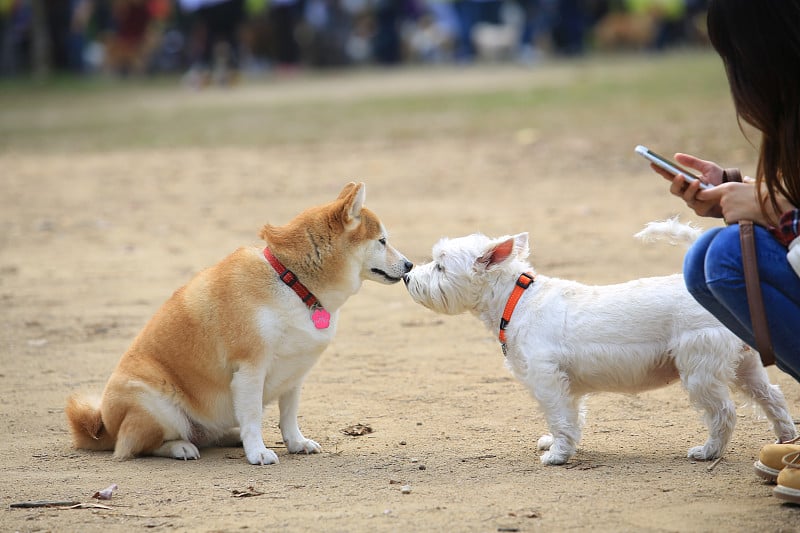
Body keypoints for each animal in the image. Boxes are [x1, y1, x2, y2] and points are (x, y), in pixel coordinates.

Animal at [67, 182, 412, 462]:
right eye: (382, 241)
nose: (409, 265)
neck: (292, 282)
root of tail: (103, 427)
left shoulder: (295, 373)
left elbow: (289, 416)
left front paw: (296, 443)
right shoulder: (249, 369)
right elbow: (253, 416)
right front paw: (257, 452)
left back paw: (228, 437)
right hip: (156, 405)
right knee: (137, 446)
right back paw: (180, 447)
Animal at [406, 218, 792, 464]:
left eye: (440, 266)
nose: (408, 275)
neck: (517, 300)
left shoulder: (546, 379)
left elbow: (559, 417)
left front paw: (557, 455)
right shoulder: (565, 384)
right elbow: (570, 417)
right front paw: (557, 444)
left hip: (701, 371)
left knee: (723, 412)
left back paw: (708, 452)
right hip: (745, 365)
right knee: (772, 397)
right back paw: (785, 439)